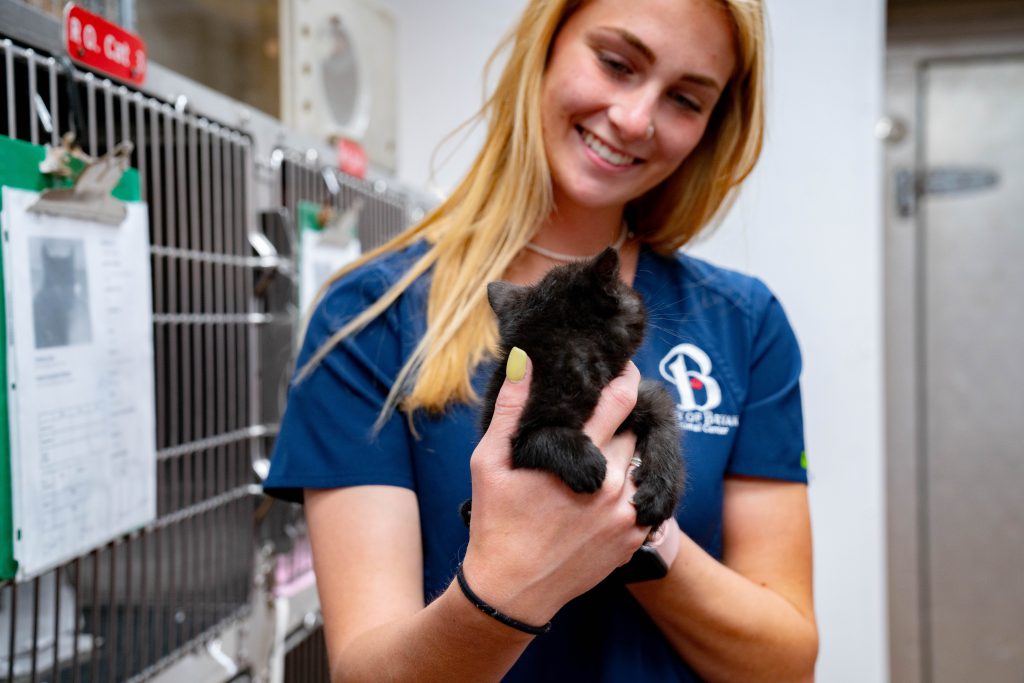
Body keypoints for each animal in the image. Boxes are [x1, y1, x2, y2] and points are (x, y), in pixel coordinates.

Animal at [468, 248, 684, 532]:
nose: (644, 304)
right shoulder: (511, 432)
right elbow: (538, 434)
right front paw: (585, 464)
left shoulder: (645, 396)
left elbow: (664, 427)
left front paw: (659, 490)